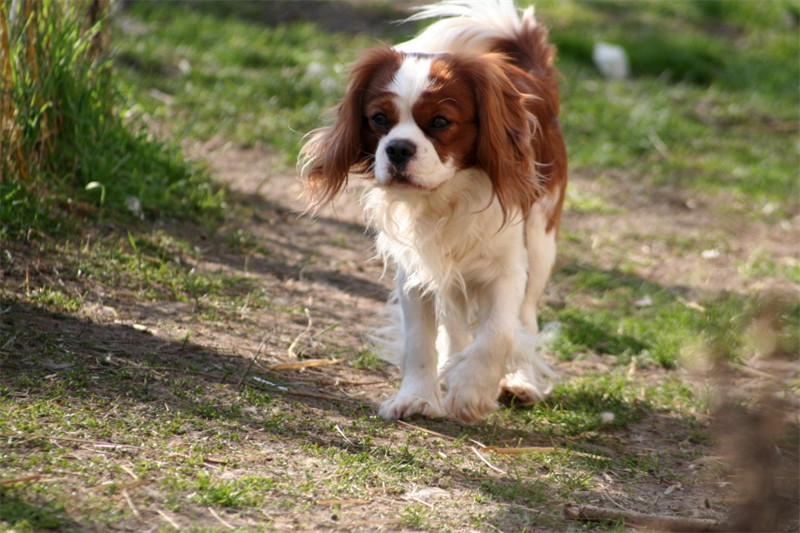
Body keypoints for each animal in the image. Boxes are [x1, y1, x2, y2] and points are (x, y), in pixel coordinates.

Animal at [300, 1, 568, 424]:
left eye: (440, 122)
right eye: (379, 119)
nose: (398, 148)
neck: (445, 197)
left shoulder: (508, 269)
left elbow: (499, 333)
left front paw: (472, 391)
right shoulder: (415, 271)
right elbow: (421, 341)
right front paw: (419, 397)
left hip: (542, 243)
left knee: (525, 318)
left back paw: (522, 381)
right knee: (455, 323)